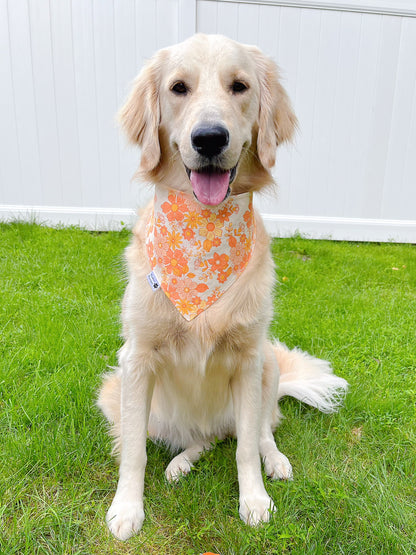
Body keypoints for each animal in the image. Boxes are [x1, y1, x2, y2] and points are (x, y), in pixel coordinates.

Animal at [97, 32, 348, 540]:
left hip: (269, 362)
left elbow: (247, 446)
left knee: (257, 431)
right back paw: (181, 462)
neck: (203, 234)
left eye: (240, 86)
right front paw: (127, 508)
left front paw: (254, 499)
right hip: (118, 394)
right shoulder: (135, 359)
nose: (210, 138)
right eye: (178, 88)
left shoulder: (248, 360)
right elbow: (133, 450)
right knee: (203, 439)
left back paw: (275, 461)